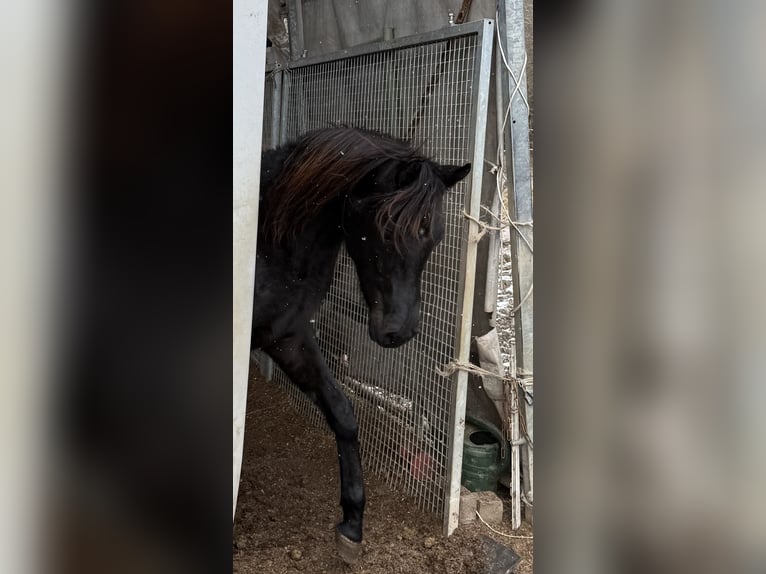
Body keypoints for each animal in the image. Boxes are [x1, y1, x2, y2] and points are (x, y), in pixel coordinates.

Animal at [251, 127, 471, 563]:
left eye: (434, 237)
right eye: (386, 230)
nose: (400, 331)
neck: (268, 243)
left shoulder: (288, 338)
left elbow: (343, 413)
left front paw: (352, 521)